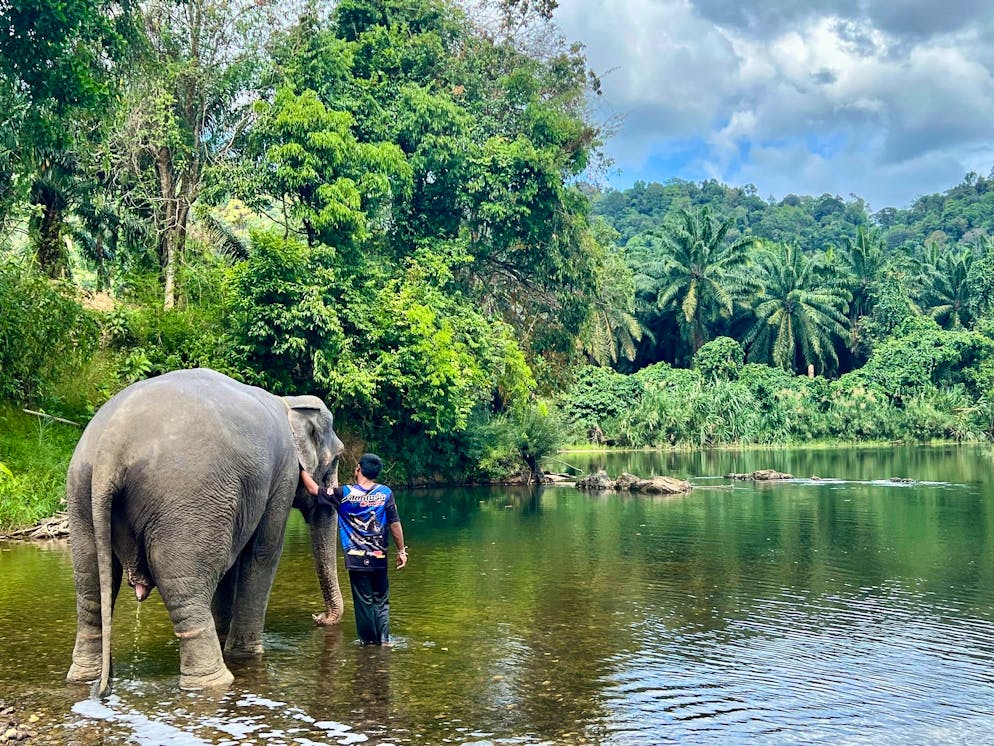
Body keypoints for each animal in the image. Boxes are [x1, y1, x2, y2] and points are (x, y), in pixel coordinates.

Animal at [65, 368, 346, 695]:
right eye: (337, 459)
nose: (319, 617)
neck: (289, 402)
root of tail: (112, 445)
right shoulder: (283, 476)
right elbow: (262, 553)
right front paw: (245, 654)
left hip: (81, 494)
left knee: (91, 586)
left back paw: (85, 678)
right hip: (185, 502)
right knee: (187, 588)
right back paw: (213, 681)